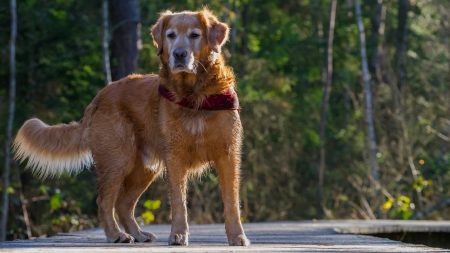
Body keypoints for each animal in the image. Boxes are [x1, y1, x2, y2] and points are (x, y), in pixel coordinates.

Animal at [13, 8, 250, 247]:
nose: (179, 54)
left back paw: (137, 234)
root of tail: (99, 97)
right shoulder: (175, 156)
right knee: (105, 201)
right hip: (117, 159)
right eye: (171, 35)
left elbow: (231, 201)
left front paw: (237, 236)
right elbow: (178, 201)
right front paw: (178, 234)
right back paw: (116, 234)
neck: (195, 94)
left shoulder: (228, 154)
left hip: (144, 168)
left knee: (123, 204)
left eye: (195, 35)